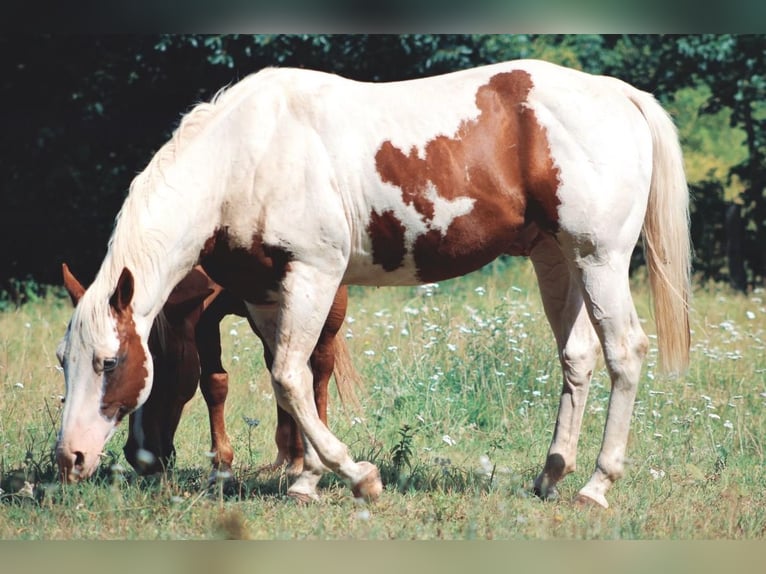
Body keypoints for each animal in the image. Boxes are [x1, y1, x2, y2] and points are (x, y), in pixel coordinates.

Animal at [52, 59, 688, 508]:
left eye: (110, 361)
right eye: (64, 359)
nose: (71, 458)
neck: (245, 156)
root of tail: (620, 94)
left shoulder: (313, 275)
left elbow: (290, 377)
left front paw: (358, 477)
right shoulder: (266, 294)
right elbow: (296, 380)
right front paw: (307, 479)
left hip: (600, 259)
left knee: (624, 352)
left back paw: (597, 487)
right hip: (557, 260)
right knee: (577, 357)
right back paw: (551, 475)